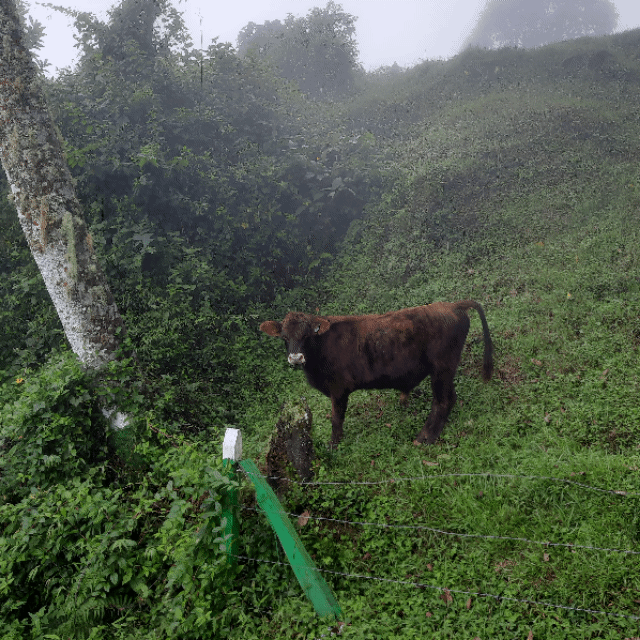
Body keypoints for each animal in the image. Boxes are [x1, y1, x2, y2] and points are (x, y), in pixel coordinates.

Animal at [260, 300, 493, 447]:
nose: (296, 358)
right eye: (284, 337)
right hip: (446, 370)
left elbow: (336, 420)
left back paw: (424, 438)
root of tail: (452, 305)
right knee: (450, 398)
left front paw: (333, 445)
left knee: (442, 401)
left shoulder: (338, 389)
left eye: (307, 335)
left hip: (441, 368)